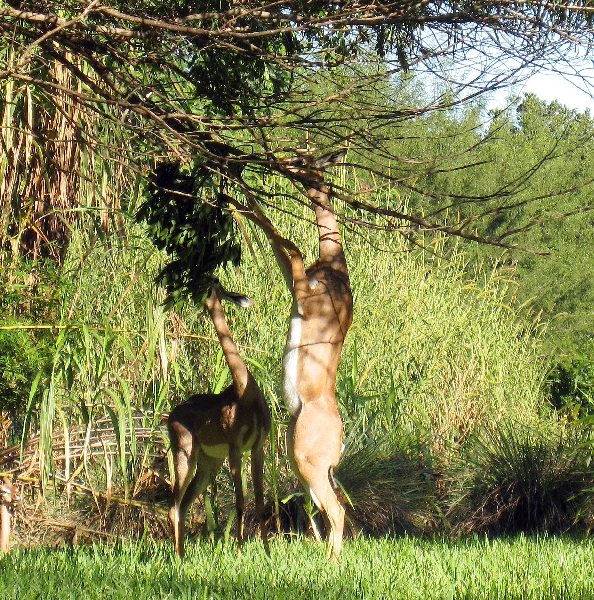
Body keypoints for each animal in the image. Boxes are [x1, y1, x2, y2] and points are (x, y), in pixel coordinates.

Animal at [165, 282, 270, 556]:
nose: (201, 297)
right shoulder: (235, 449)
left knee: (183, 506)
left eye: (215, 284)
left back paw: (182, 555)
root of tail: (171, 415)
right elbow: (240, 501)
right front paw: (240, 551)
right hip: (184, 454)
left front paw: (267, 552)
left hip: (208, 463)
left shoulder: (257, 447)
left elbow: (259, 501)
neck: (244, 393)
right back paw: (178, 557)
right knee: (173, 506)